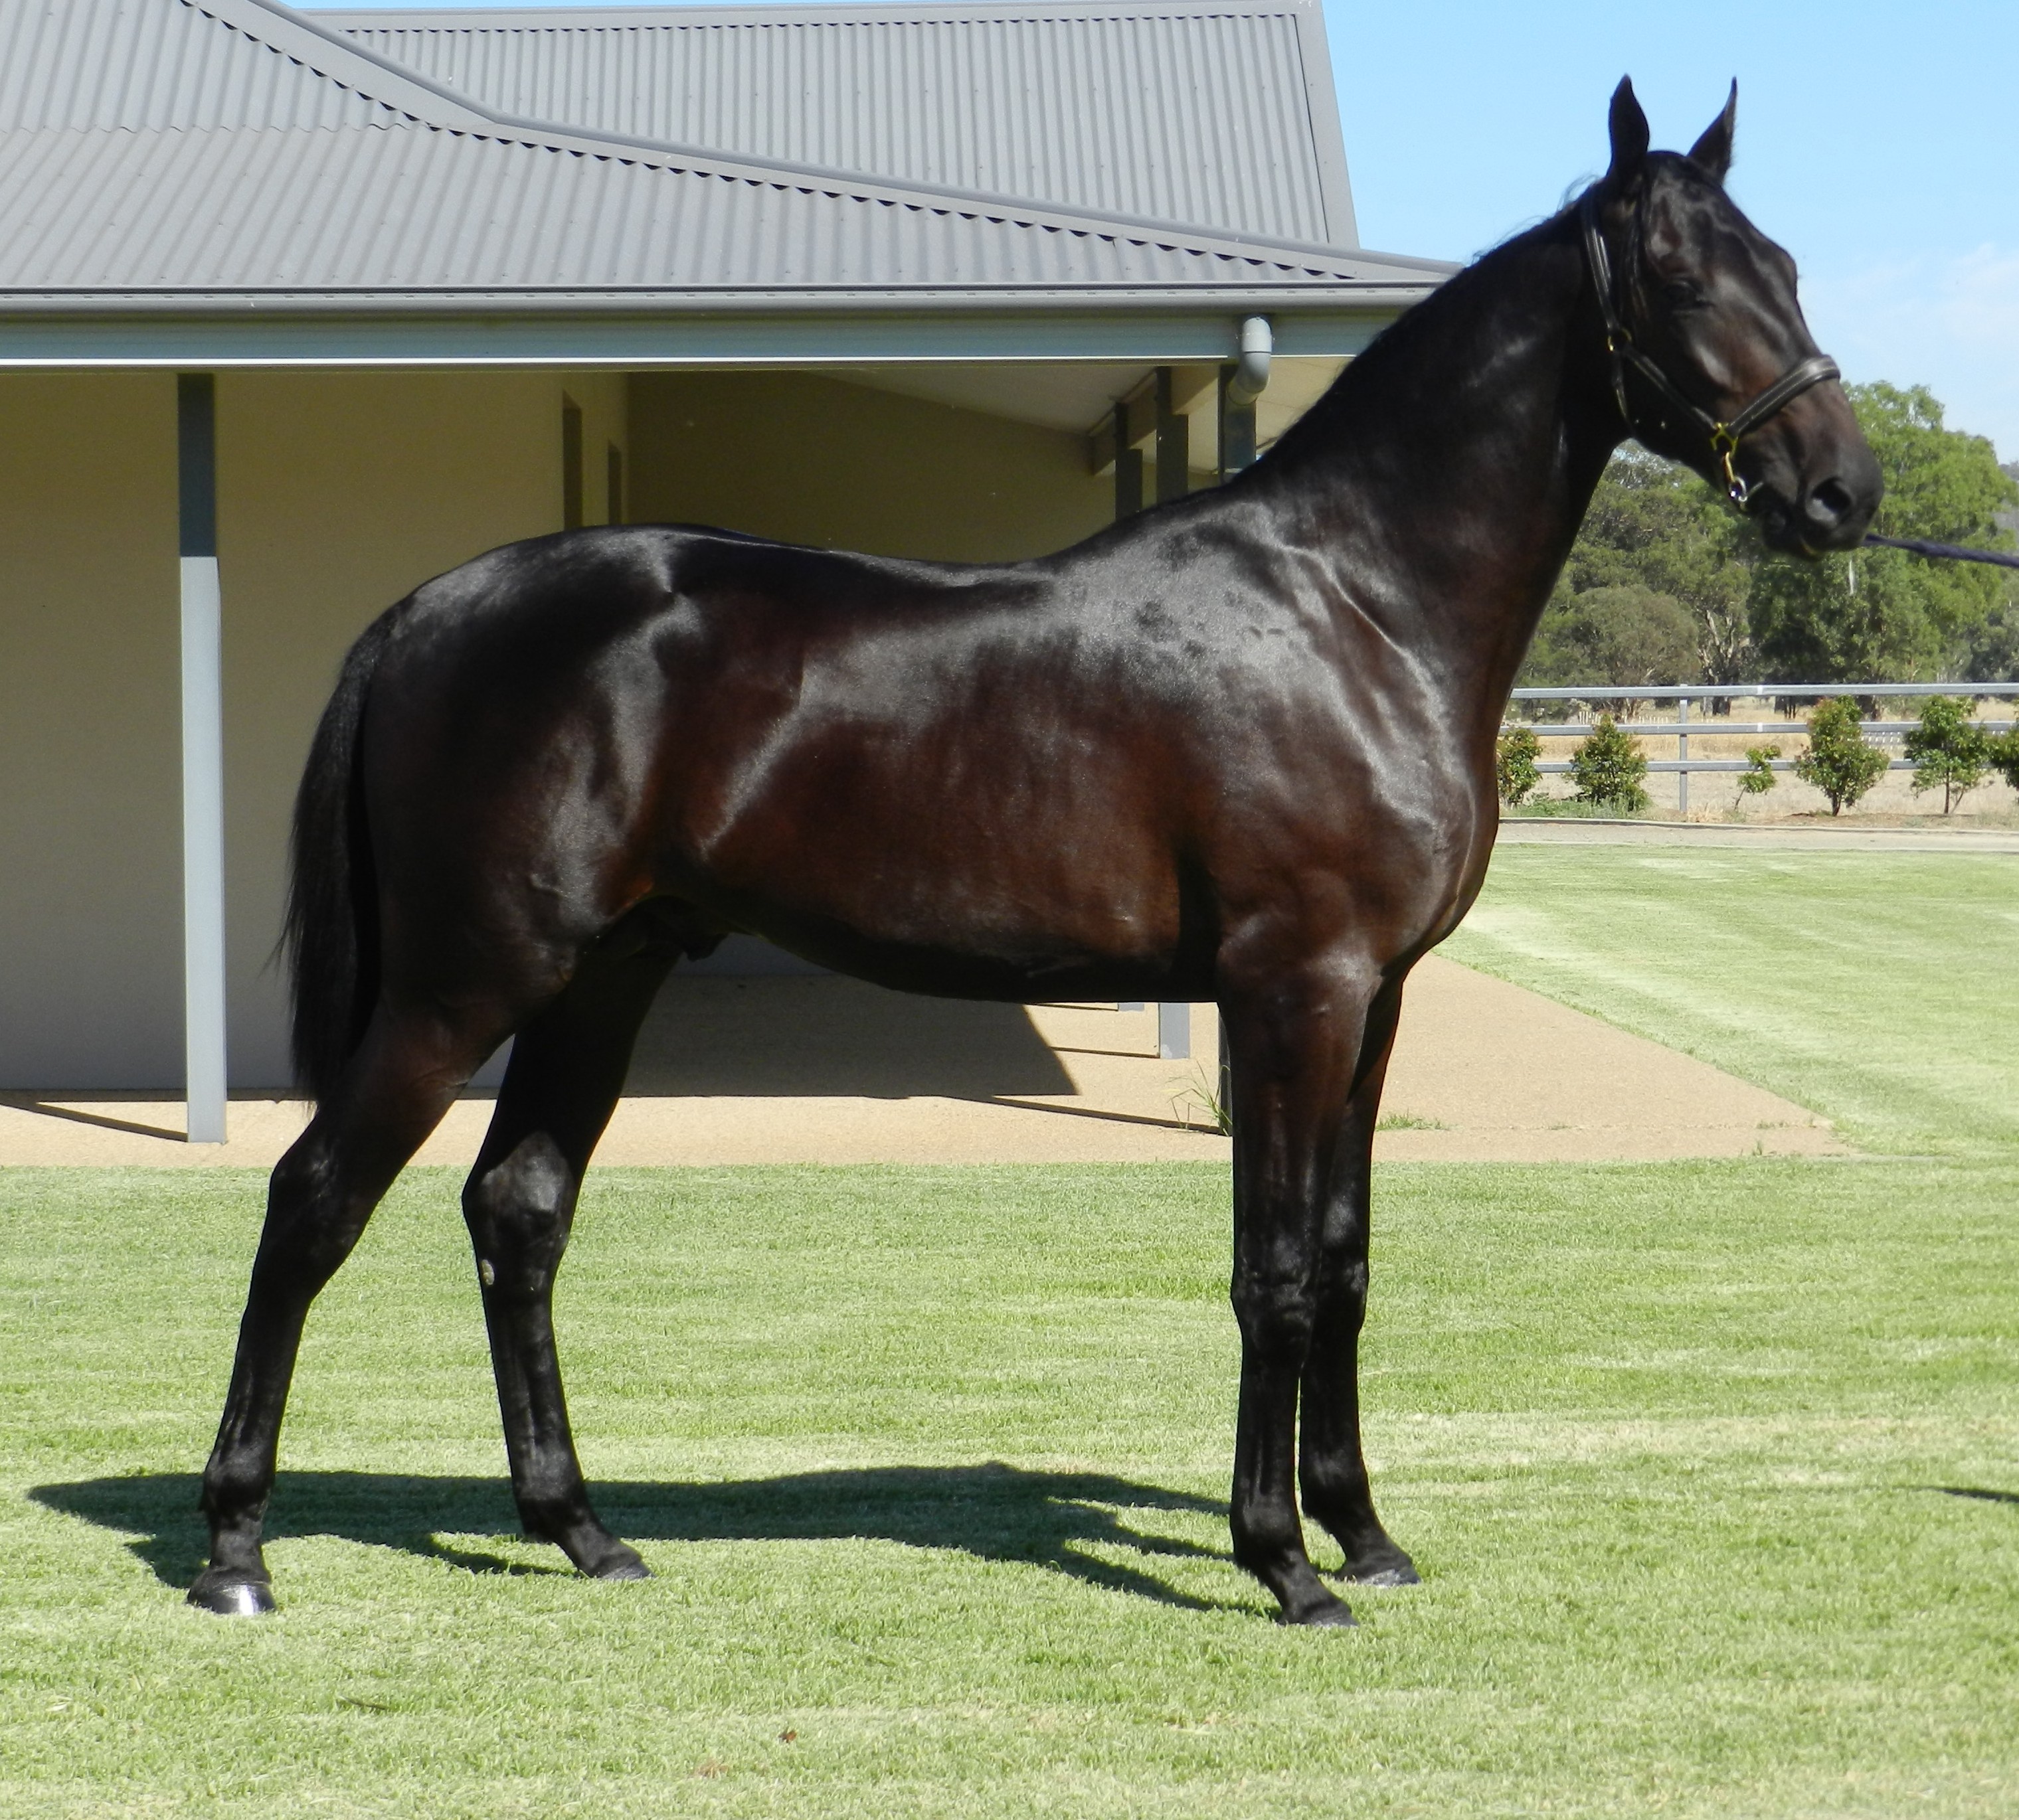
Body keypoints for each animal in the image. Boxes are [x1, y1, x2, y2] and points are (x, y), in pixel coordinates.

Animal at [190, 80, 1880, 1626]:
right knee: (313, 1197)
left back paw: (580, 1527)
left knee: (519, 1206)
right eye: (1681, 276)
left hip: (603, 972)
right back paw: (235, 1547)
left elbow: (1340, 1257)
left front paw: (1364, 1532)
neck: (1354, 603)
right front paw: (1282, 1561)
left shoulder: (1375, 998)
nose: (1840, 487)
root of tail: (426, 612)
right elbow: (1273, 1269)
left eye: (1789, 261)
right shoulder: (1293, 988)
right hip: (464, 981)